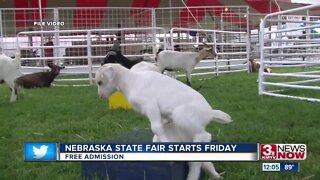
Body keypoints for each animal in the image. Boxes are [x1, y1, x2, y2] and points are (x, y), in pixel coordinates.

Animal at [95, 64, 232, 179]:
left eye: (100, 82)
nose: (100, 96)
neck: (132, 82)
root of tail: (210, 113)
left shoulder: (151, 107)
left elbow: (156, 128)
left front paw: (167, 145)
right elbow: (159, 129)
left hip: (182, 116)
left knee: (205, 136)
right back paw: (214, 175)